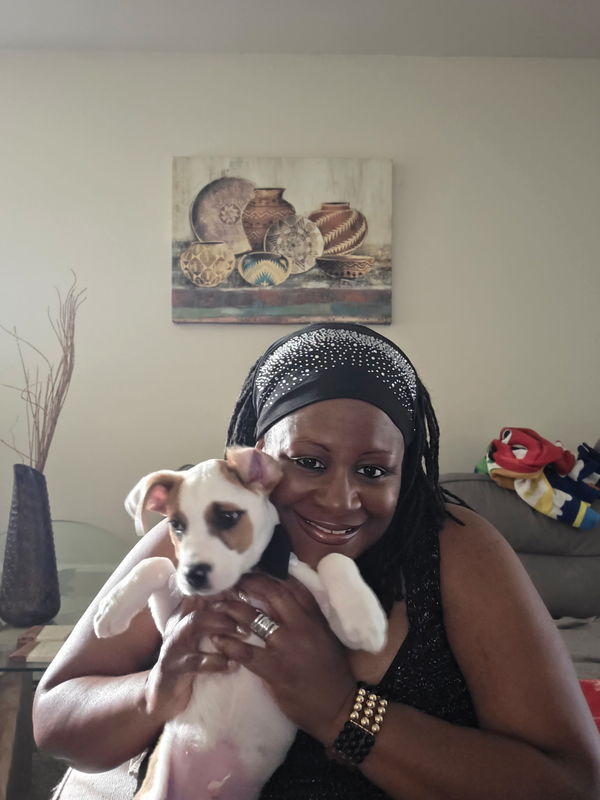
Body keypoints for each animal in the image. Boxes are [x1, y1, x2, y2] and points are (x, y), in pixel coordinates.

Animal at [93, 447, 388, 800]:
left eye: (227, 517)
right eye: (177, 525)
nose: (193, 575)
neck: (248, 576)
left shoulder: (328, 622)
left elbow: (336, 559)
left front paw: (366, 622)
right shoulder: (173, 623)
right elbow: (159, 562)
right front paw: (111, 610)